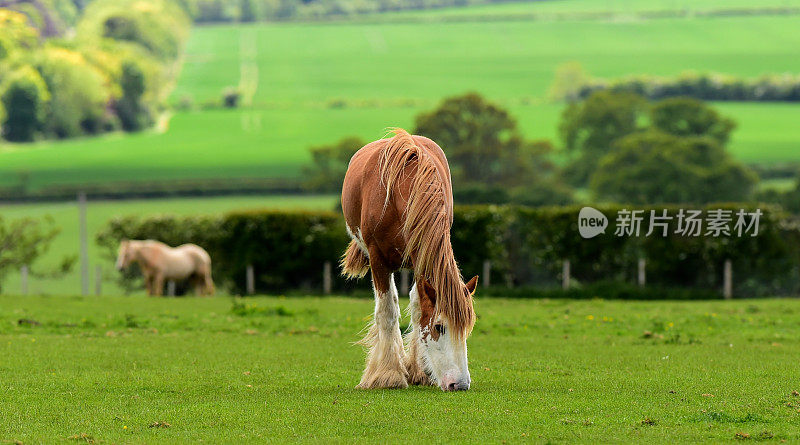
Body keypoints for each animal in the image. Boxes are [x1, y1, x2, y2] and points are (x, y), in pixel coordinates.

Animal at [340, 126, 478, 390]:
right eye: (439, 326)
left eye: (466, 329)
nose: (460, 384)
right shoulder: (378, 260)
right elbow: (387, 312)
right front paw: (388, 374)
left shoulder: (420, 258)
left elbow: (416, 307)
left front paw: (419, 371)